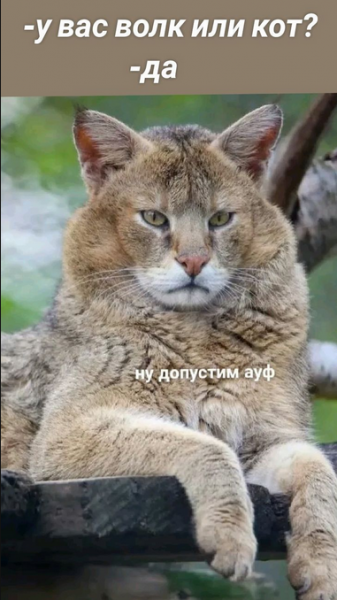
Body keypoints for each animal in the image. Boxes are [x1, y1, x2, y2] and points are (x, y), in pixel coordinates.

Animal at [1, 105, 336, 596]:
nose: (194, 262)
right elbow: (203, 445)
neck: (197, 336)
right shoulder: (66, 435)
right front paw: (231, 537)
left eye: (221, 219)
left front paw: (323, 565)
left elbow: (318, 468)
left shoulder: (268, 438)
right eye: (155, 218)